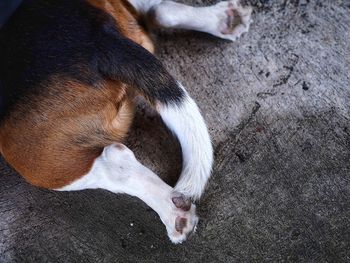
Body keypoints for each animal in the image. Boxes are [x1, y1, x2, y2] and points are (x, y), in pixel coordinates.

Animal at [0, 0, 252, 244]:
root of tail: (98, 37)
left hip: (31, 155)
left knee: (115, 162)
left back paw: (172, 212)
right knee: (159, 10)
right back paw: (224, 19)